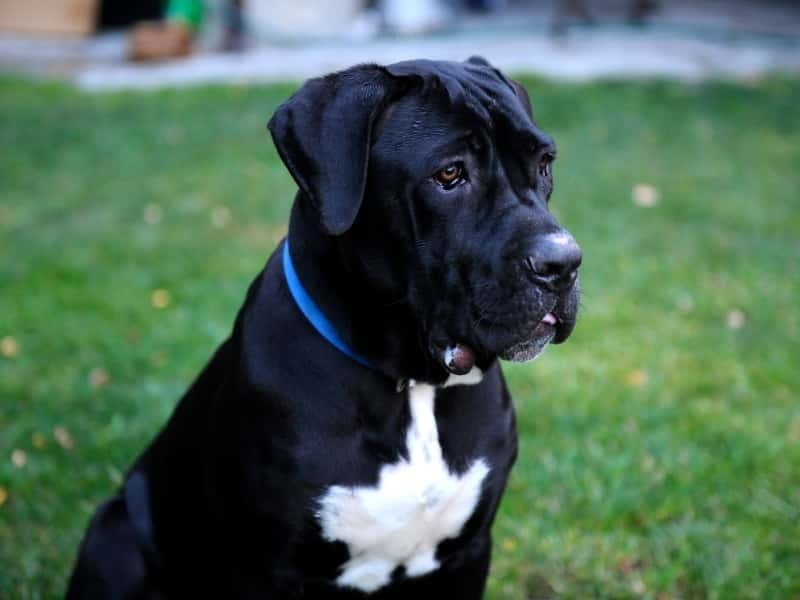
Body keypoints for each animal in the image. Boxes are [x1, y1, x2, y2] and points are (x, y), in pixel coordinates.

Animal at [67, 55, 580, 596]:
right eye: (450, 173)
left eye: (543, 163)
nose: (563, 263)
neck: (410, 386)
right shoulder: (267, 570)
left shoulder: (469, 551)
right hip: (113, 536)